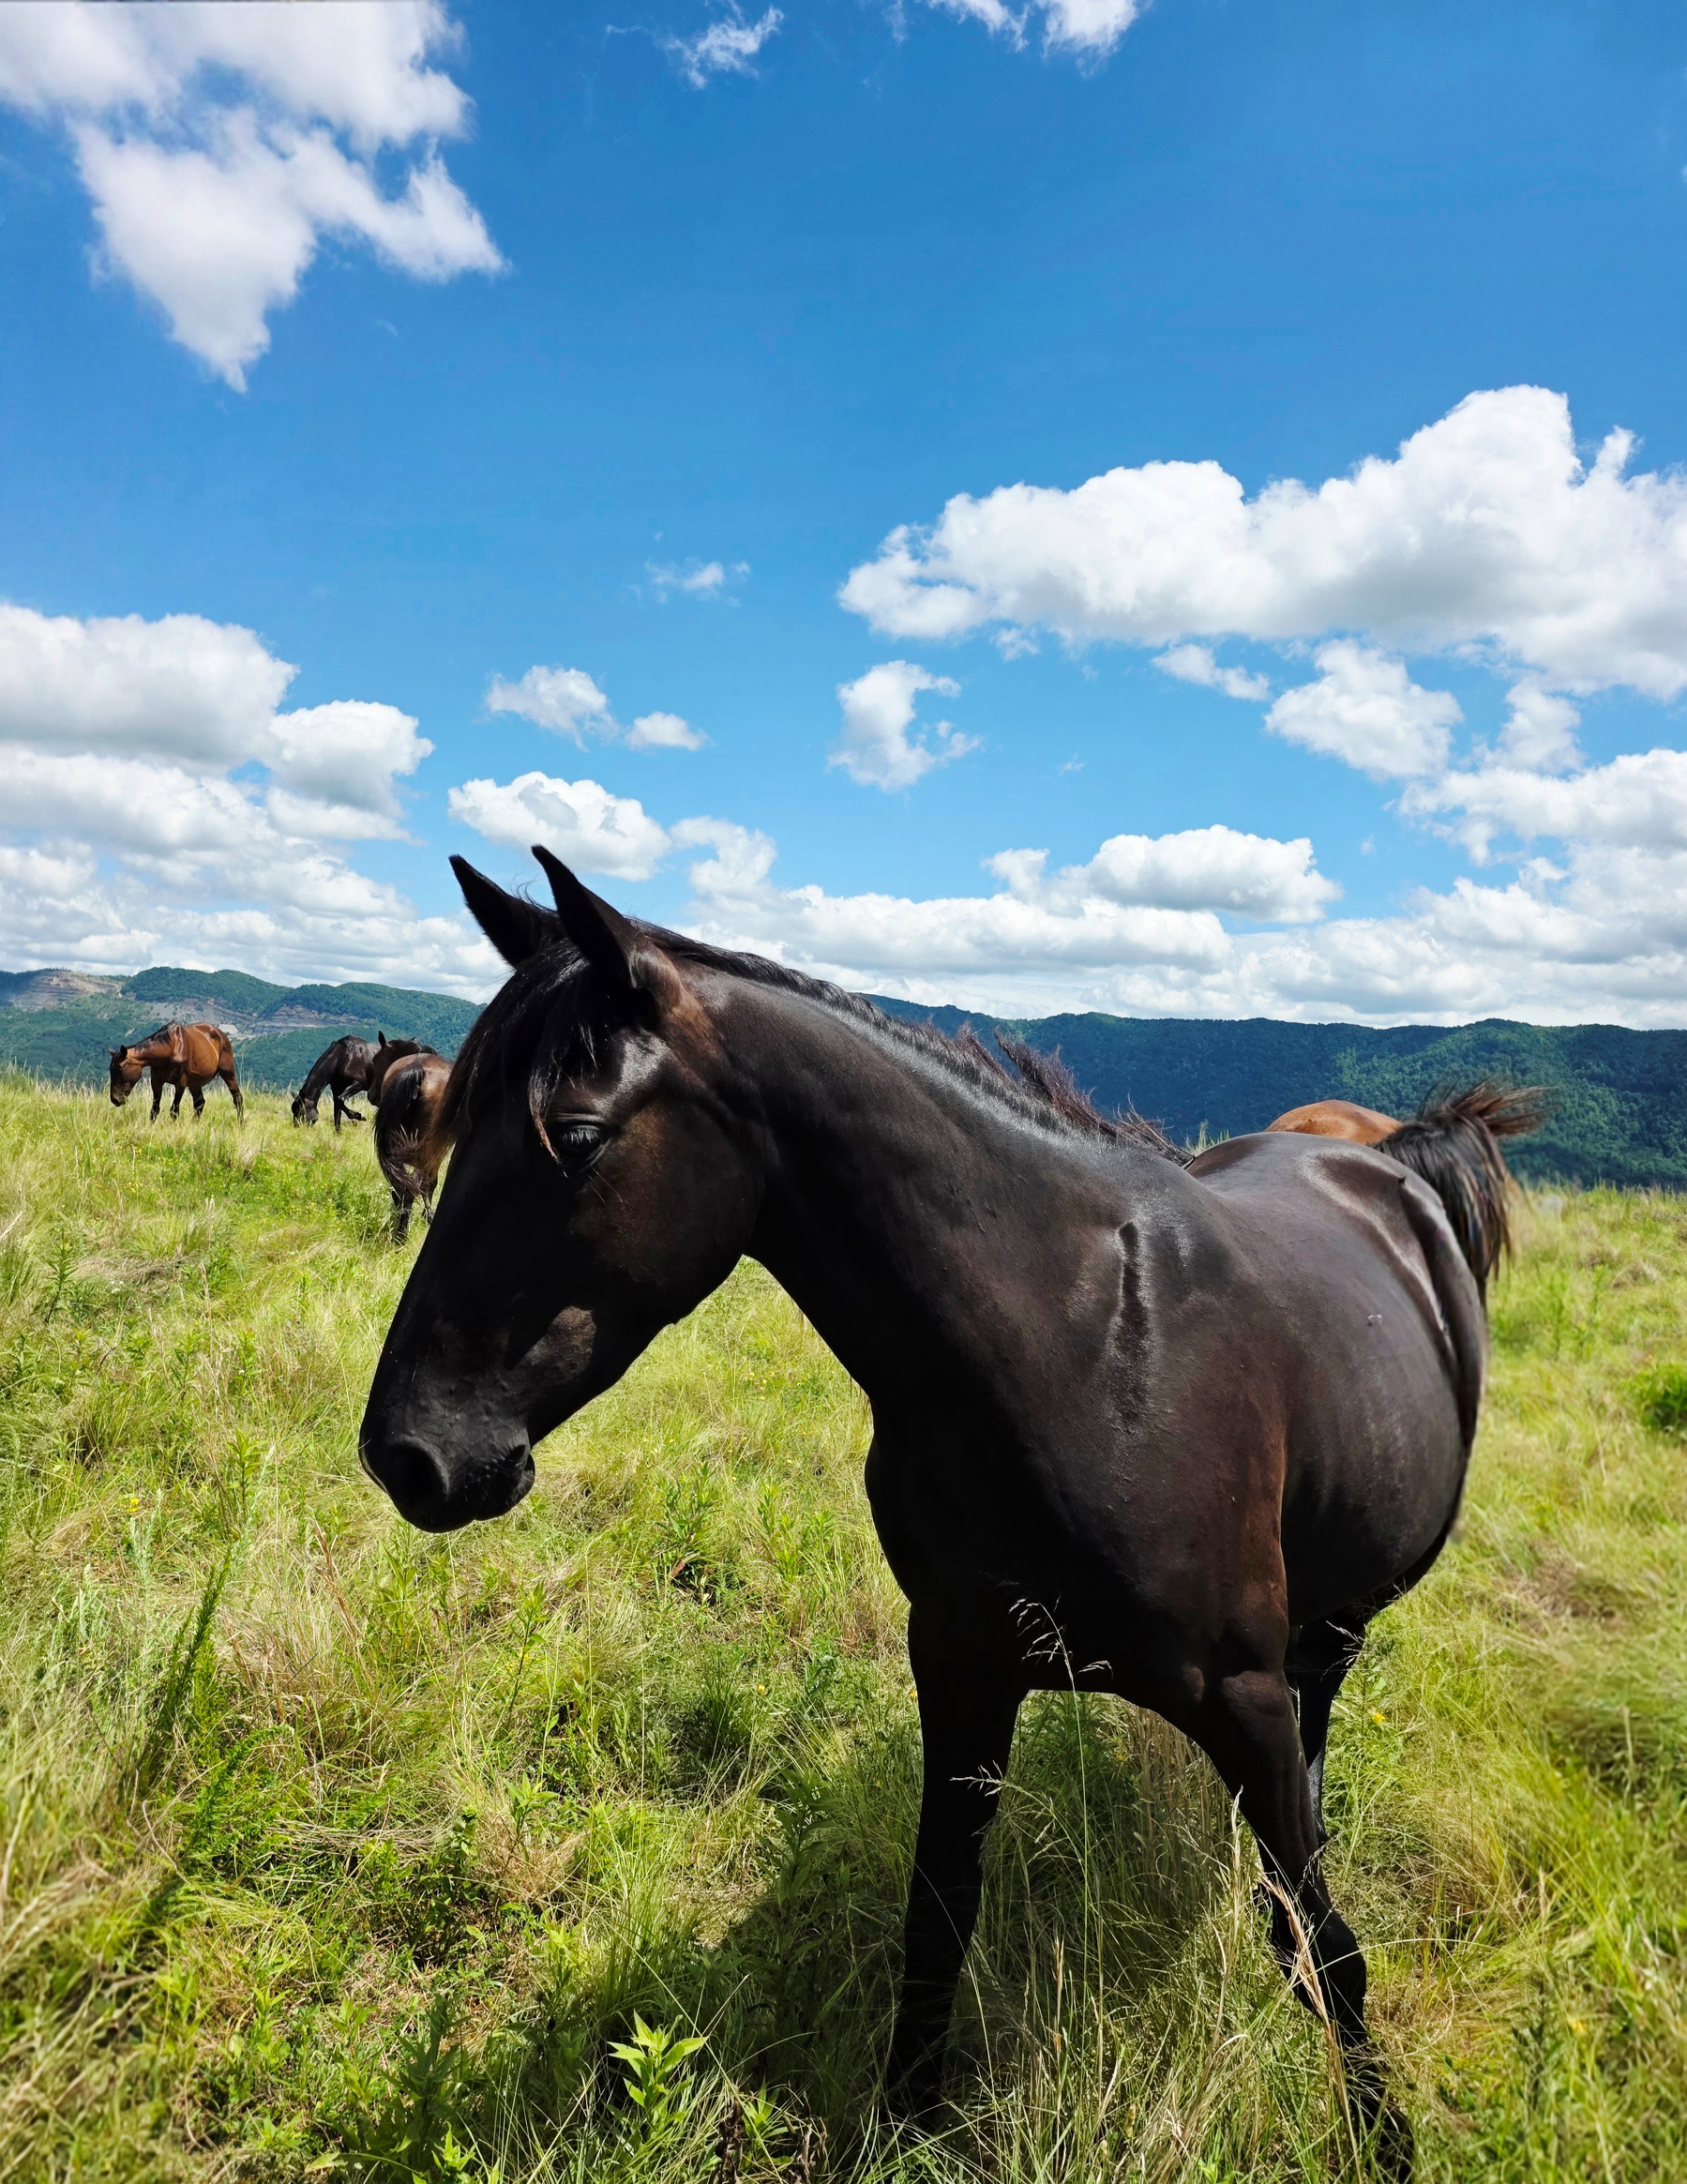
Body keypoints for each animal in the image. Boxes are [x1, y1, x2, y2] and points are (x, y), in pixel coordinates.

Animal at [109, 1022, 244, 1121]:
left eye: (120, 1068)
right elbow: (154, 1110)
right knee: (199, 1103)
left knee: (237, 1098)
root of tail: (221, 1034)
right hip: (195, 1083)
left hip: (228, 1074)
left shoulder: (180, 1084)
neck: (171, 1048)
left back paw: (240, 1123)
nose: (115, 1099)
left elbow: (174, 1111)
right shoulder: (156, 1082)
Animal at [374, 1049, 453, 1241]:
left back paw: (401, 1233)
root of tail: (418, 1069)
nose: (371, 1095)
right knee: (422, 1183)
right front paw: (428, 1215)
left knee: (404, 1187)